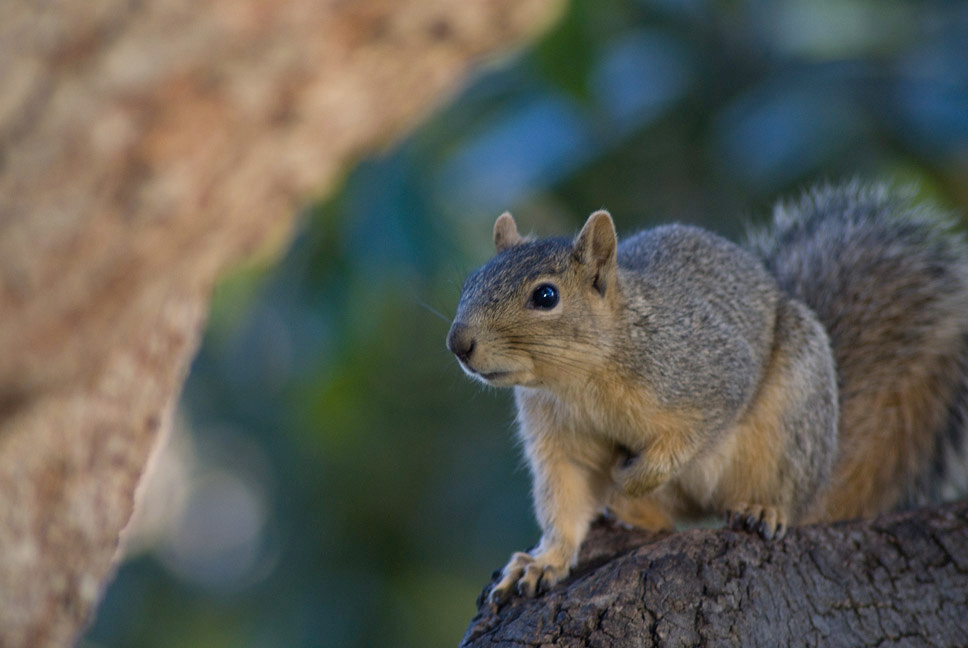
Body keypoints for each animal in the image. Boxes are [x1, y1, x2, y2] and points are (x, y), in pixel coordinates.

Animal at [446, 182, 968, 608]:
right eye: (470, 281)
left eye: (546, 296)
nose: (458, 343)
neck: (579, 380)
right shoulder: (559, 440)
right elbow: (565, 501)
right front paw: (543, 561)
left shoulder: (710, 376)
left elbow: (689, 437)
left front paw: (630, 475)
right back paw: (631, 512)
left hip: (793, 422)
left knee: (791, 498)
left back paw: (762, 508)